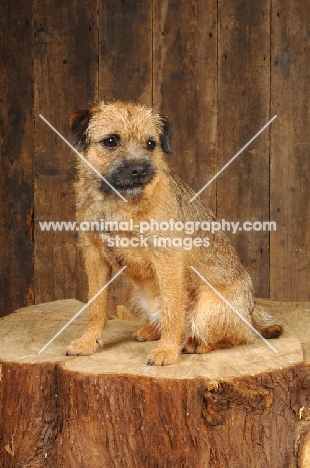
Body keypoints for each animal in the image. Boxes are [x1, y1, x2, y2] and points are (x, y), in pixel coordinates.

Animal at [66, 101, 282, 366]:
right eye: (110, 141)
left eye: (151, 144)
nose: (139, 170)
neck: (119, 202)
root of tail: (251, 312)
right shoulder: (94, 257)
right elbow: (96, 307)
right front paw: (87, 343)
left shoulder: (166, 258)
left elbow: (172, 311)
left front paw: (167, 351)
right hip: (134, 297)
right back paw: (151, 331)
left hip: (208, 307)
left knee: (235, 337)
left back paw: (193, 343)